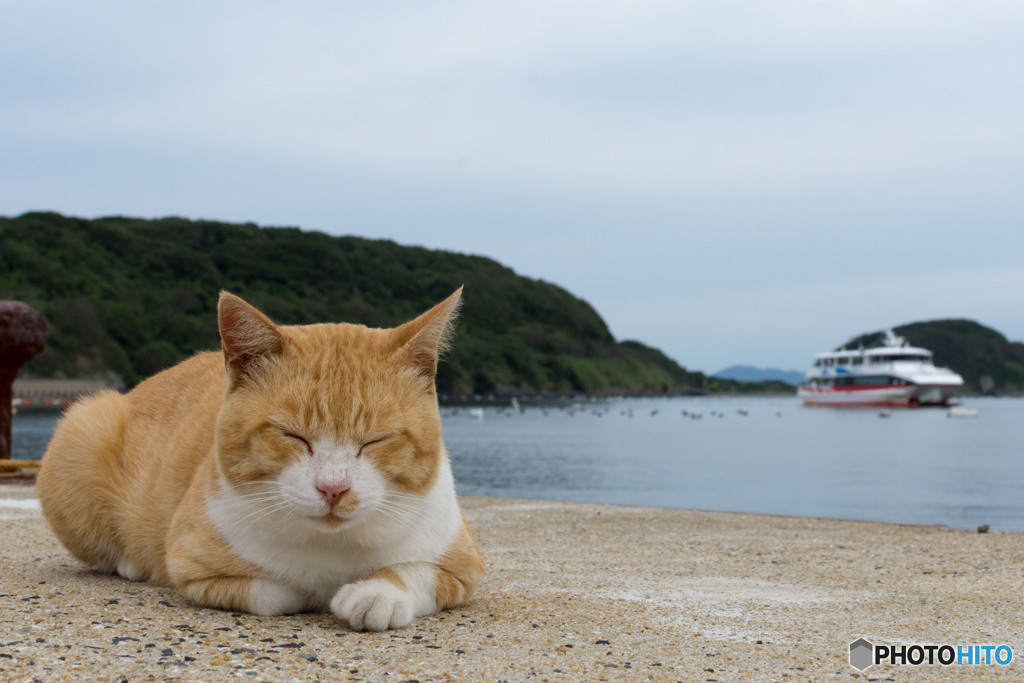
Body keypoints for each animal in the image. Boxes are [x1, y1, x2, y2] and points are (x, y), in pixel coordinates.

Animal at [37, 288, 481, 630]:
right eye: (293, 436)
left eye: (375, 441)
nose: (333, 489)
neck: (330, 546)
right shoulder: (190, 565)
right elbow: (275, 592)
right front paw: (309, 592)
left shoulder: (464, 565)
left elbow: (415, 572)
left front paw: (376, 594)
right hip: (84, 424)